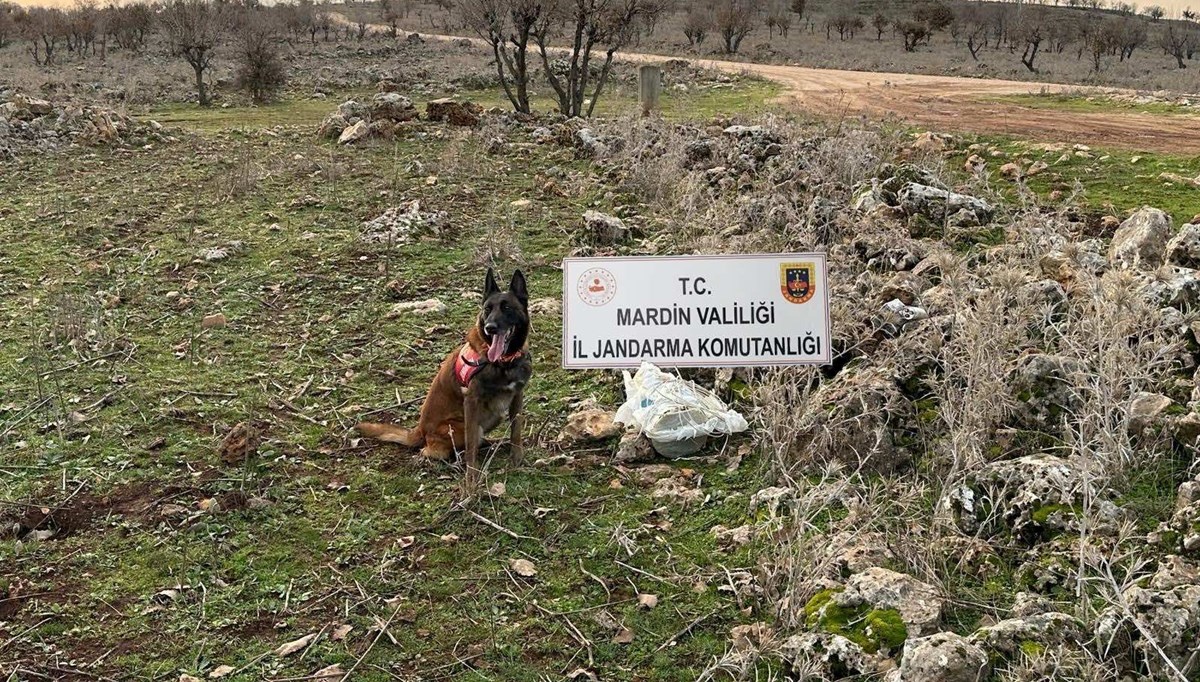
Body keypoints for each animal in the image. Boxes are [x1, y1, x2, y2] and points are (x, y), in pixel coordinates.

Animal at [355, 266, 535, 485]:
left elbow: (516, 431)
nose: (490, 327)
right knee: (438, 449)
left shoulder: (517, 395)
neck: (503, 362)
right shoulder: (471, 402)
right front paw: (472, 477)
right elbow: (471, 447)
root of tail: (420, 430)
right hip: (457, 428)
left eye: (507, 308)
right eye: (487, 309)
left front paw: (517, 458)